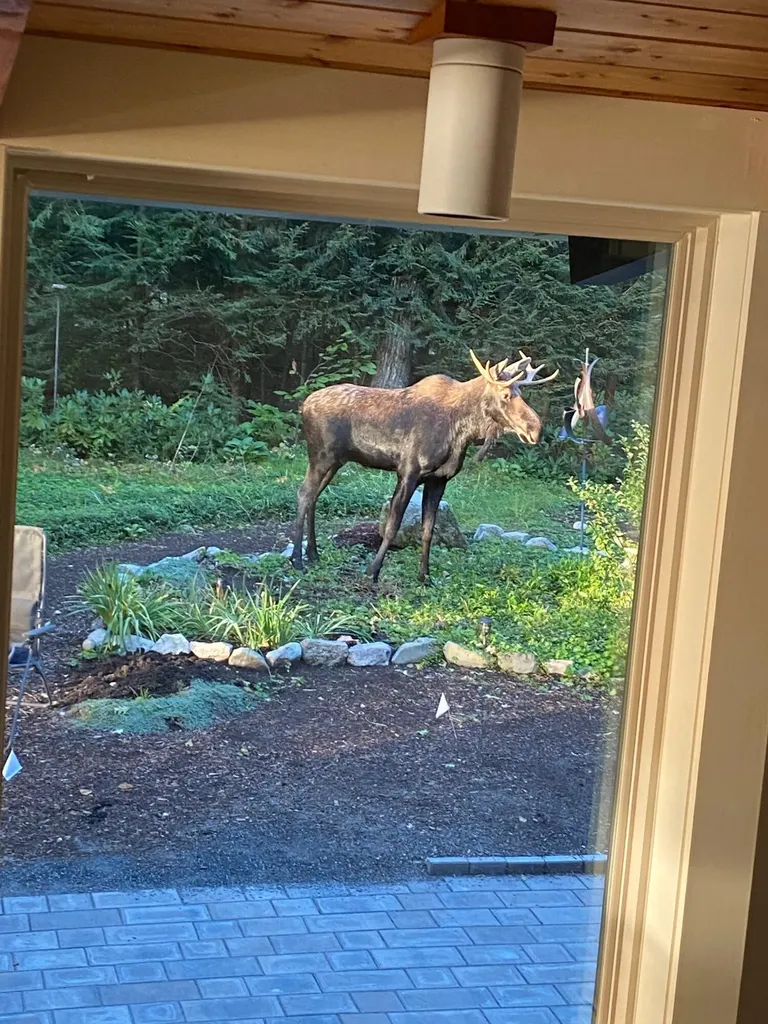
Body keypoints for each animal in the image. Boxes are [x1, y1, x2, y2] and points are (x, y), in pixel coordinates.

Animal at [291, 350, 558, 582]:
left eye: (520, 392)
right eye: (505, 395)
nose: (536, 429)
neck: (463, 432)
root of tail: (304, 406)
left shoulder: (439, 479)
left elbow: (428, 530)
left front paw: (425, 576)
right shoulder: (408, 472)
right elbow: (392, 526)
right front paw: (372, 571)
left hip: (336, 462)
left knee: (313, 497)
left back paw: (313, 554)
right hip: (321, 457)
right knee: (304, 494)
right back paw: (297, 560)